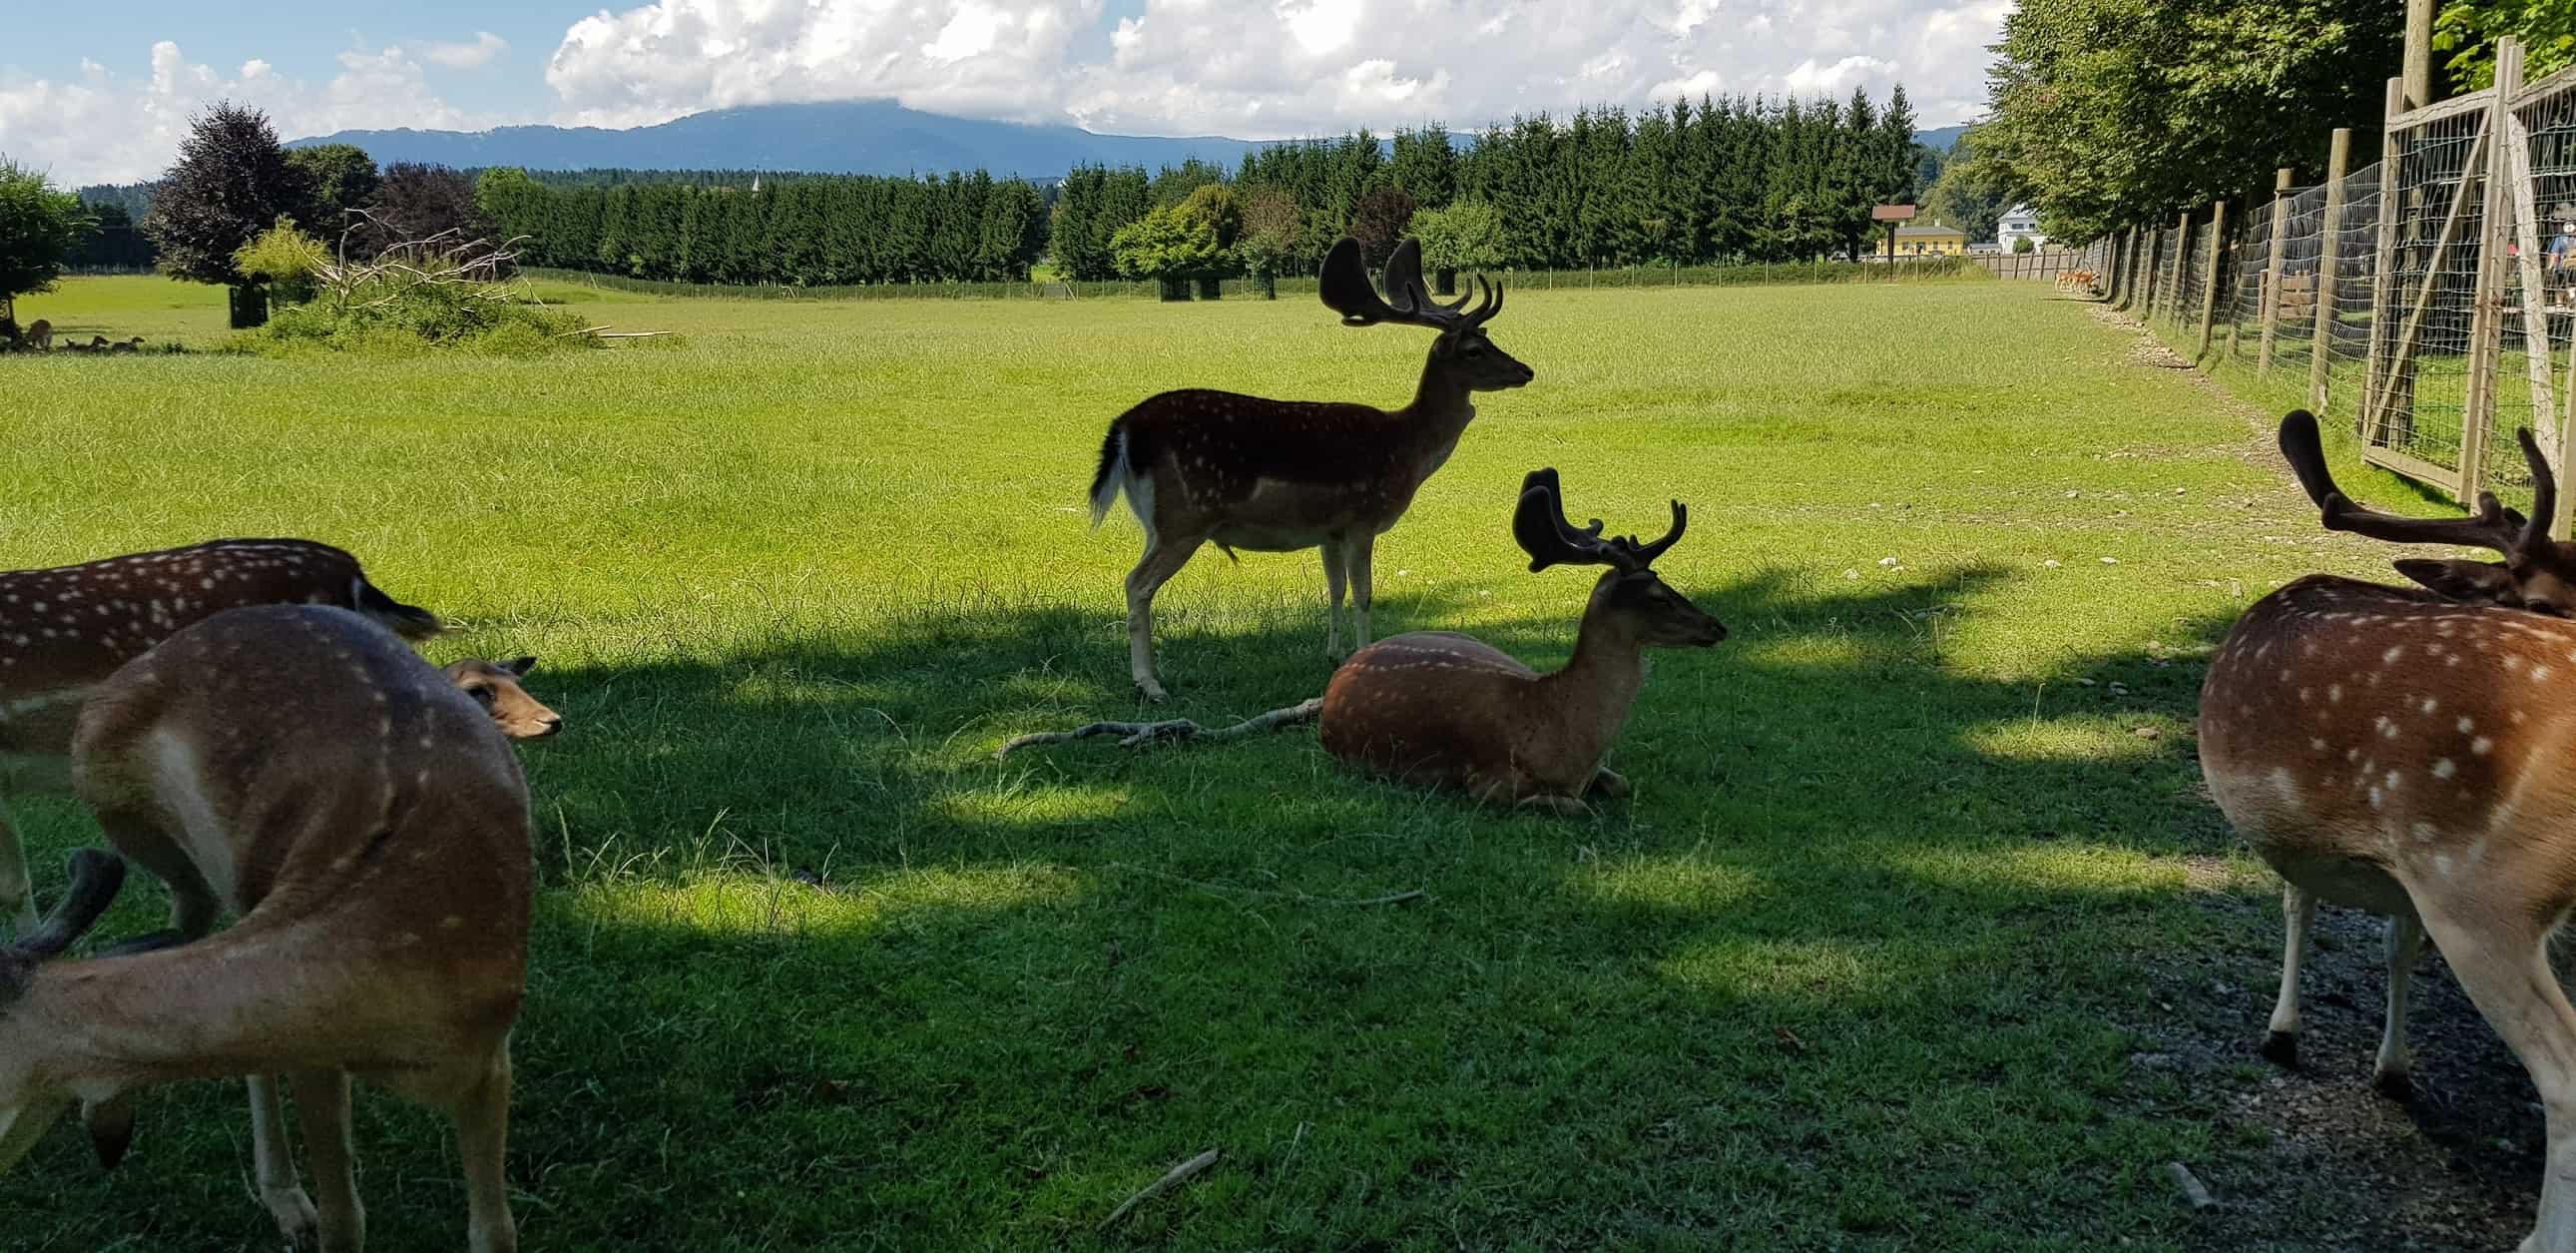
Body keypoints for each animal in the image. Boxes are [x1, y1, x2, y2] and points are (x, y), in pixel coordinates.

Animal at [1087, 237, 1524, 706]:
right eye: (1474, 350)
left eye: (1489, 338)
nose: (1525, 370)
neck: (1407, 447)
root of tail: (1124, 430)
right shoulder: (1362, 518)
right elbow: (1364, 594)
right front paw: (1364, 657)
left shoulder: (1328, 531)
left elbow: (1335, 589)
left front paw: (1334, 654)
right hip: (1183, 517)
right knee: (1137, 583)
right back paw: (1150, 683)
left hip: (1156, 523)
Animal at [2195, 409, 2576, 1242]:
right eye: (2545, 596)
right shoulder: (2400, 865)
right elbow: (2390, 942)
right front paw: (2390, 1068)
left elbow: (2297, 899)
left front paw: (2282, 1032)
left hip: (2485, 892)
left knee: (2564, 1071)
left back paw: (2538, 1236)